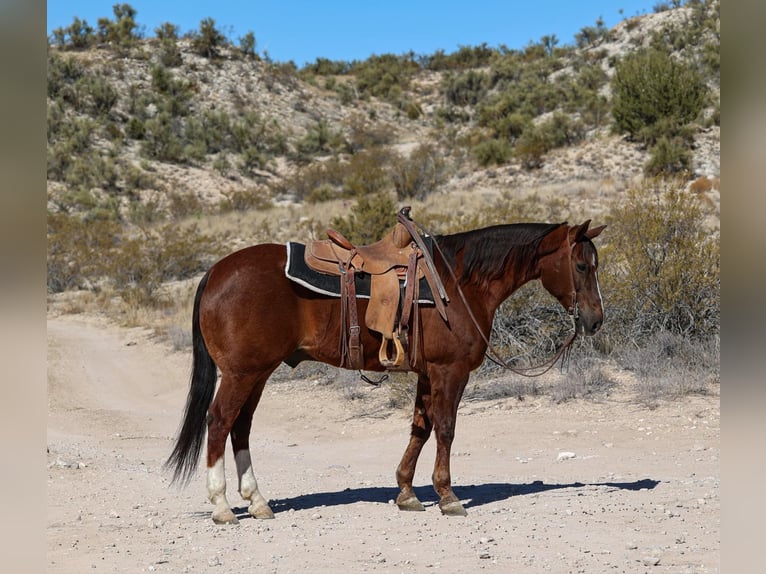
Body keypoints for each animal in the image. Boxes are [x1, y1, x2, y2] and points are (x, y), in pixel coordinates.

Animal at [165, 219, 606, 523]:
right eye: (582, 266)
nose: (595, 319)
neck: (460, 282)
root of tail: (215, 272)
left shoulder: (428, 373)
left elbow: (420, 428)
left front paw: (407, 492)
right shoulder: (450, 372)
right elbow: (445, 429)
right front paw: (448, 496)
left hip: (258, 372)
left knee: (240, 426)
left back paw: (257, 503)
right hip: (242, 373)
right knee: (220, 421)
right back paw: (222, 505)